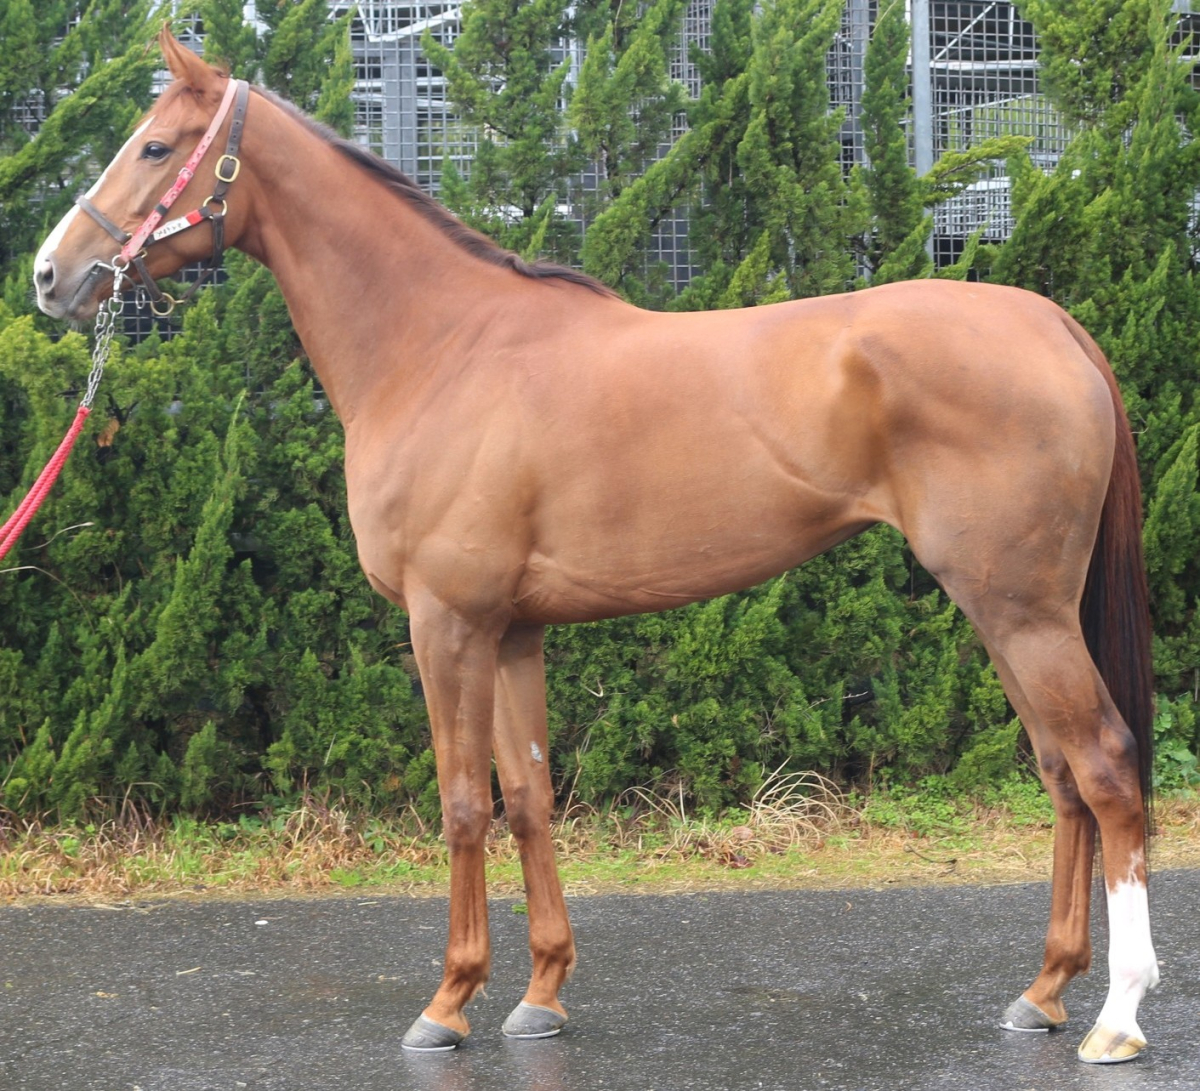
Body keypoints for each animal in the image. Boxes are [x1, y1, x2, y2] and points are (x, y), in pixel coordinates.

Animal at [33, 29, 1159, 1063]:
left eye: (155, 145)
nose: (52, 275)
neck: (441, 348)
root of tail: (1056, 325)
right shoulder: (513, 630)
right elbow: (530, 798)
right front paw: (541, 993)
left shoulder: (447, 623)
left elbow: (462, 805)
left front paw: (448, 1002)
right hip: (1005, 612)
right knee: (1062, 774)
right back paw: (1044, 990)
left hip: (1021, 609)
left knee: (1104, 766)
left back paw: (1116, 1016)